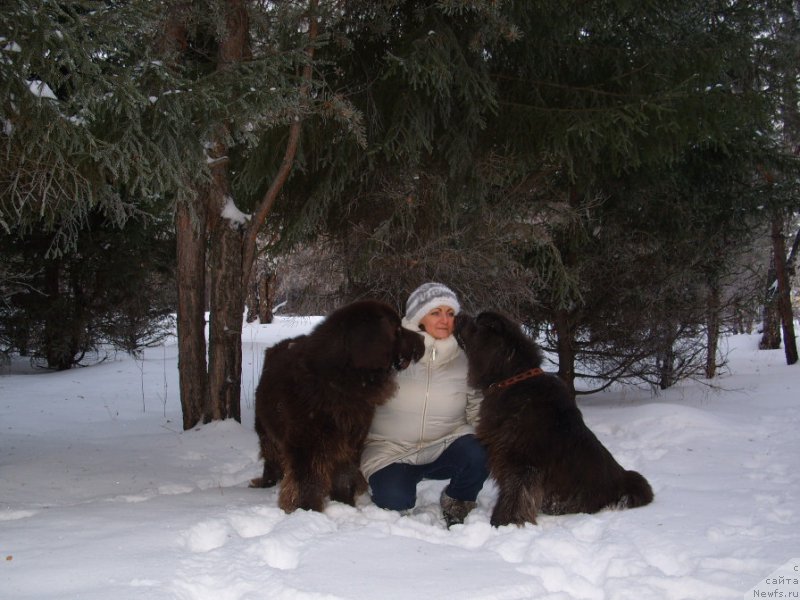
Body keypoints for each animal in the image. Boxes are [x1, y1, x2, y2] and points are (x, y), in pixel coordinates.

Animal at [252, 298, 424, 510]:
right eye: (397, 329)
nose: (423, 339)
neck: (342, 380)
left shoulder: (351, 440)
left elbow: (344, 475)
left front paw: (345, 504)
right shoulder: (306, 443)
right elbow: (306, 481)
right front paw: (307, 509)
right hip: (265, 429)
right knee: (271, 456)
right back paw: (267, 482)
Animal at [454, 312, 652, 528]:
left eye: (477, 324)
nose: (458, 314)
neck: (513, 379)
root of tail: (623, 480)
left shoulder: (522, 461)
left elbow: (515, 495)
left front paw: (503, 523)